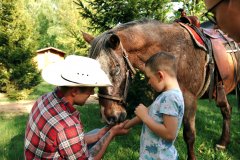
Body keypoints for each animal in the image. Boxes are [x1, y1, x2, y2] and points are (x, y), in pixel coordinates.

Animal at [82, 19, 238, 159]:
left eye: (116, 69)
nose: (108, 117)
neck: (177, 52)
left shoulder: (190, 98)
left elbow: (189, 135)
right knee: (226, 109)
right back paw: (223, 143)